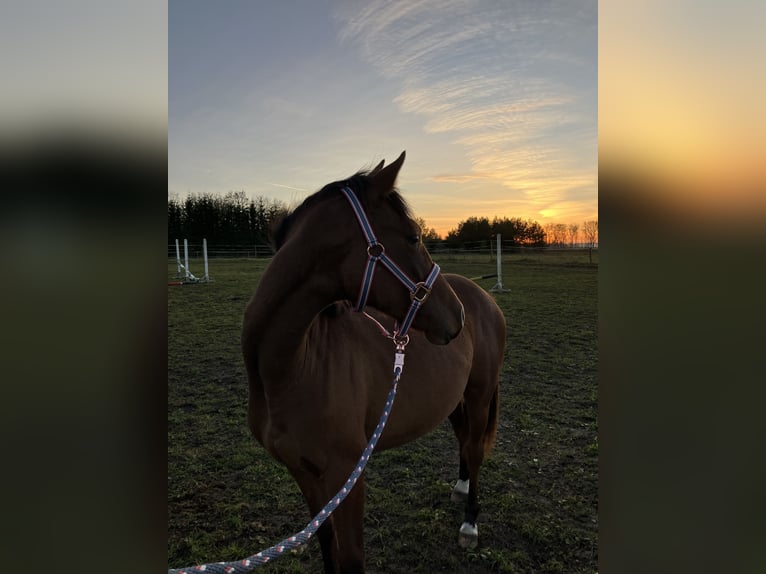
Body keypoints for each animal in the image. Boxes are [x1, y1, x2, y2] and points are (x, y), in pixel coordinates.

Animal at [244, 153, 510, 574]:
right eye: (414, 237)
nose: (458, 316)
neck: (293, 368)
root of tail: (484, 297)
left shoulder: (347, 477)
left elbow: (351, 557)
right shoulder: (305, 473)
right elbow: (327, 544)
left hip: (481, 394)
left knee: (474, 449)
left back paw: (470, 523)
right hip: (455, 399)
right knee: (464, 440)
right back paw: (461, 487)